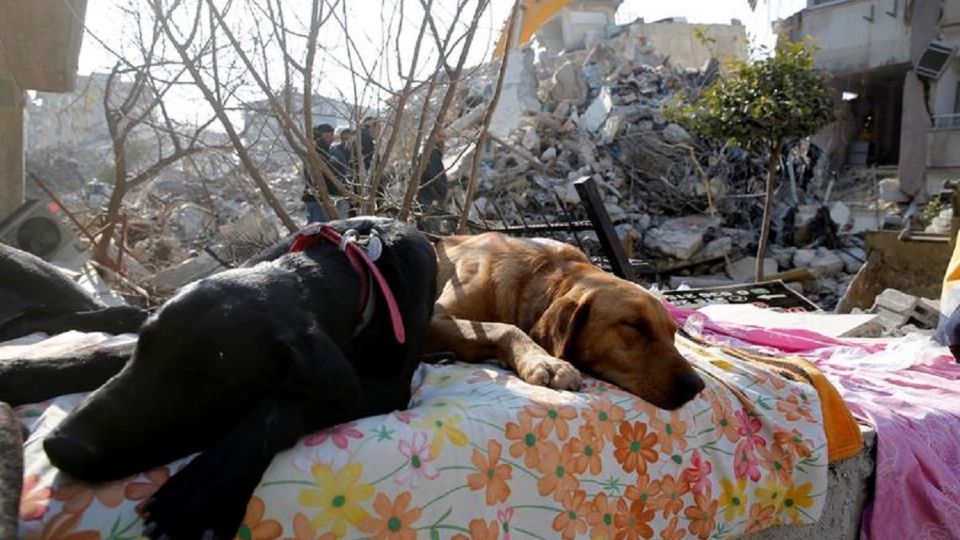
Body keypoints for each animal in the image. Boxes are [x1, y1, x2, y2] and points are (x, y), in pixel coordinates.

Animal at [1, 217, 436, 540]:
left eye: (213, 383)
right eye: (144, 347)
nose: (60, 445)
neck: (352, 277)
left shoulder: (384, 390)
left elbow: (278, 406)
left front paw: (203, 488)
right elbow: (95, 356)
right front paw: (19, 374)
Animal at [428, 232, 704, 410]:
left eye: (673, 333)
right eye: (634, 325)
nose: (697, 386)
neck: (537, 275)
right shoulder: (434, 319)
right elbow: (506, 328)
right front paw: (545, 361)